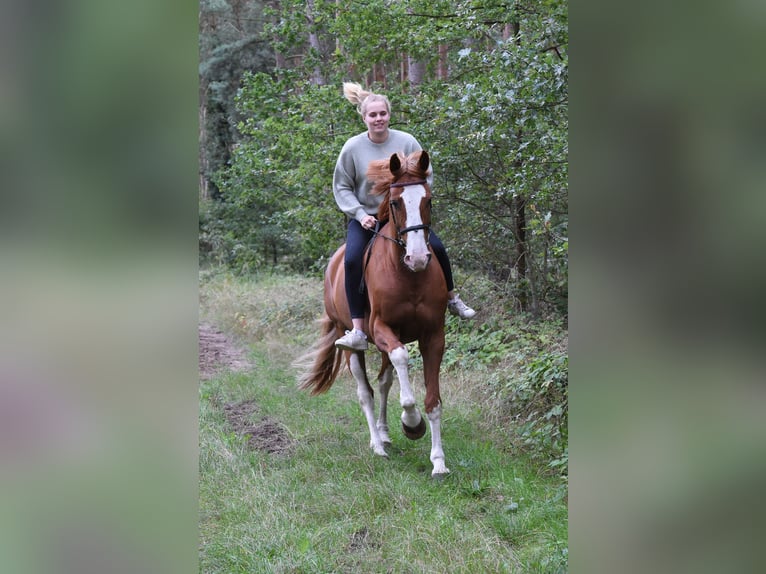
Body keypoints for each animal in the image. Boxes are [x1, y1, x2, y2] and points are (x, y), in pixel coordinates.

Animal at [298, 150, 450, 477]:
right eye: (395, 202)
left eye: (428, 200)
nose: (418, 258)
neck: (408, 276)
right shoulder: (381, 329)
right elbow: (402, 360)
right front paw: (411, 423)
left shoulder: (433, 336)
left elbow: (433, 401)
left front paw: (438, 461)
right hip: (353, 342)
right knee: (365, 391)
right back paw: (377, 445)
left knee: (383, 382)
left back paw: (384, 433)